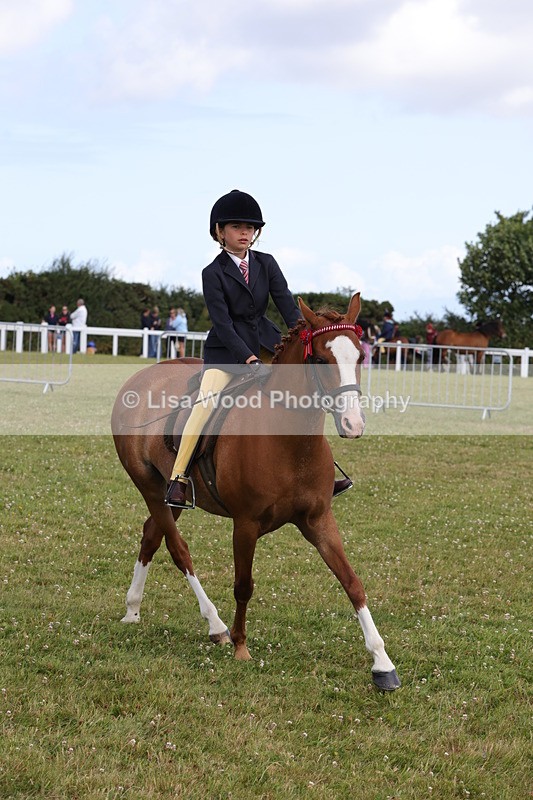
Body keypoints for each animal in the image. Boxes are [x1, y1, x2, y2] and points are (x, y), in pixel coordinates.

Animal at [111, 293, 401, 692]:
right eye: (320, 360)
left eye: (359, 357)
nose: (353, 424)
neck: (290, 442)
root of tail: (139, 377)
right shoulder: (245, 525)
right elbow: (243, 585)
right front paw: (240, 646)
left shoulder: (319, 520)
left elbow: (352, 583)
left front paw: (382, 664)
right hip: (150, 488)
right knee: (177, 547)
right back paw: (215, 625)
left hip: (175, 497)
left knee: (151, 535)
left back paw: (132, 608)